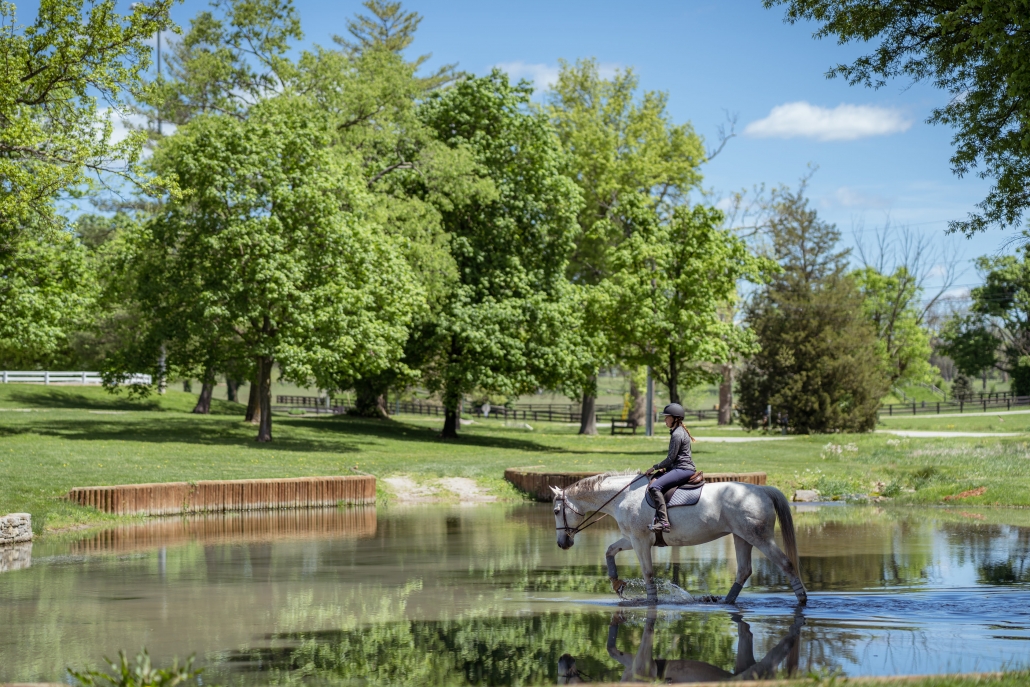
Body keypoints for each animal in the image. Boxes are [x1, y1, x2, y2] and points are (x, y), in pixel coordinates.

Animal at [551, 472, 807, 605]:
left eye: (555, 511)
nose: (562, 543)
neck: (623, 496)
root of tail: (763, 489)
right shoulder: (632, 539)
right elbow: (609, 551)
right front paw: (616, 583)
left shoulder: (640, 542)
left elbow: (648, 573)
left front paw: (651, 600)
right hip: (741, 537)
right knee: (744, 571)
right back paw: (725, 602)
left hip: (759, 537)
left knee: (786, 564)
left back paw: (803, 600)